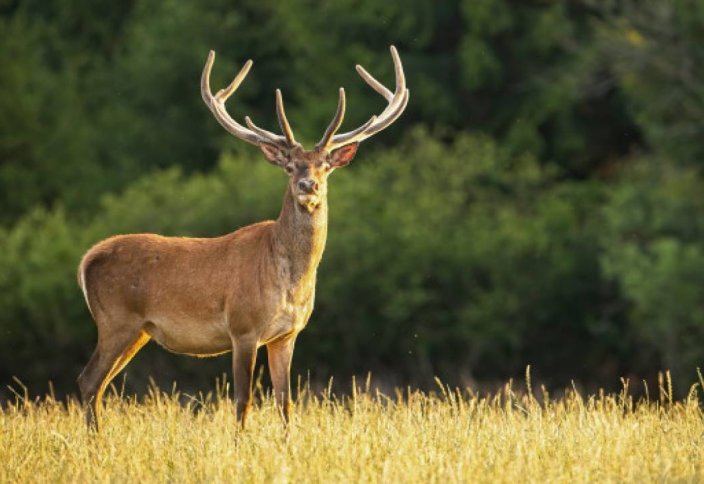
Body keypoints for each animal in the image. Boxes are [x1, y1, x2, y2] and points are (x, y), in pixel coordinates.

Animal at [77, 46, 410, 432]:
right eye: (290, 165)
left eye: (325, 165)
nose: (308, 185)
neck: (290, 281)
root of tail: (87, 260)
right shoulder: (243, 328)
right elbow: (243, 401)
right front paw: (239, 442)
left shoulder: (287, 334)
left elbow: (285, 402)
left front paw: (287, 442)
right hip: (116, 320)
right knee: (88, 380)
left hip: (139, 330)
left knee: (99, 384)